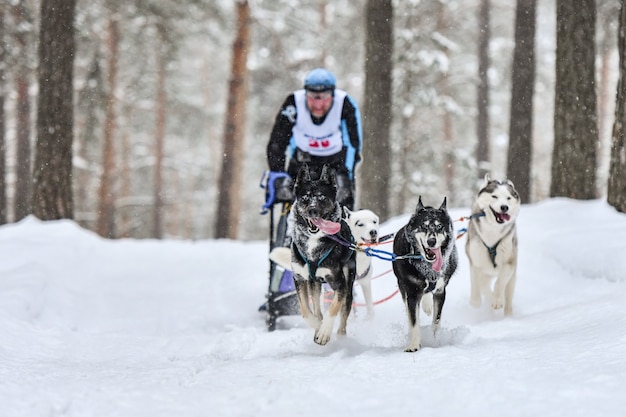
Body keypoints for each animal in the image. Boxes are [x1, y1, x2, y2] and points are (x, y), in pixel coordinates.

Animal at [288, 163, 354, 344]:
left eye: (322, 197)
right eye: (305, 197)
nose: (312, 211)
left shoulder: (340, 284)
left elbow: (333, 308)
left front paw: (324, 332)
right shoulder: (299, 278)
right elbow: (305, 310)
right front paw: (318, 326)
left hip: (349, 285)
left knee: (344, 315)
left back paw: (341, 336)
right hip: (314, 284)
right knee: (317, 306)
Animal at [392, 197, 456, 352]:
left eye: (439, 227)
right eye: (423, 226)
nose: (431, 241)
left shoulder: (440, 291)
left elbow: (436, 321)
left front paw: (435, 341)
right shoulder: (412, 293)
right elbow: (414, 320)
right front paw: (414, 345)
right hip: (403, 287)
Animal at [460, 173, 520, 316]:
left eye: (508, 198)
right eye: (494, 196)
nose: (504, 207)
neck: (493, 231)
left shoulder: (509, 263)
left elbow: (500, 283)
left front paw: (497, 301)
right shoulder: (475, 262)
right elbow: (477, 284)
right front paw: (476, 301)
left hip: (512, 278)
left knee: (507, 295)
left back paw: (507, 313)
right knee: (483, 284)